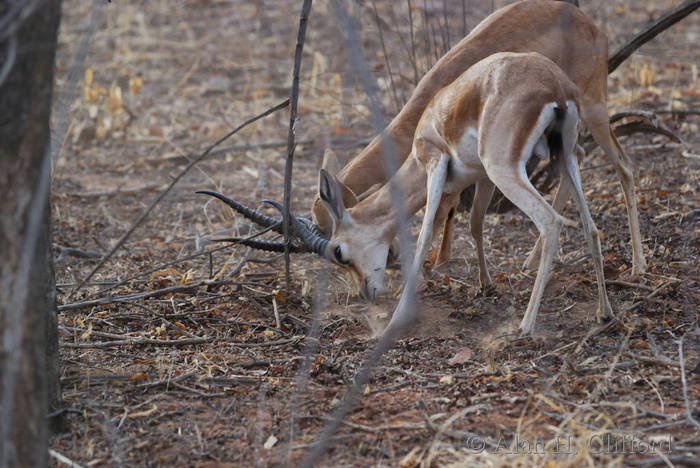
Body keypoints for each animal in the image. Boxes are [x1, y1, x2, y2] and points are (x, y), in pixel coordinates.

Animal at [311, 0, 647, 276]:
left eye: (333, 232)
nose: (390, 258)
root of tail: (593, 25)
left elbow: (444, 208)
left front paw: (436, 263)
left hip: (594, 111)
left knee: (624, 165)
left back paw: (637, 266)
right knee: (577, 163)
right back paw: (532, 261)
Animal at [312, 51, 614, 335]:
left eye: (338, 251)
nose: (365, 293)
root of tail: (556, 85)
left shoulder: (435, 164)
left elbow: (424, 236)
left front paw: (398, 316)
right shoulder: (480, 177)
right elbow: (474, 224)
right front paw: (485, 284)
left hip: (504, 168)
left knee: (550, 221)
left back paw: (526, 326)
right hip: (564, 155)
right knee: (591, 227)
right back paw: (604, 313)